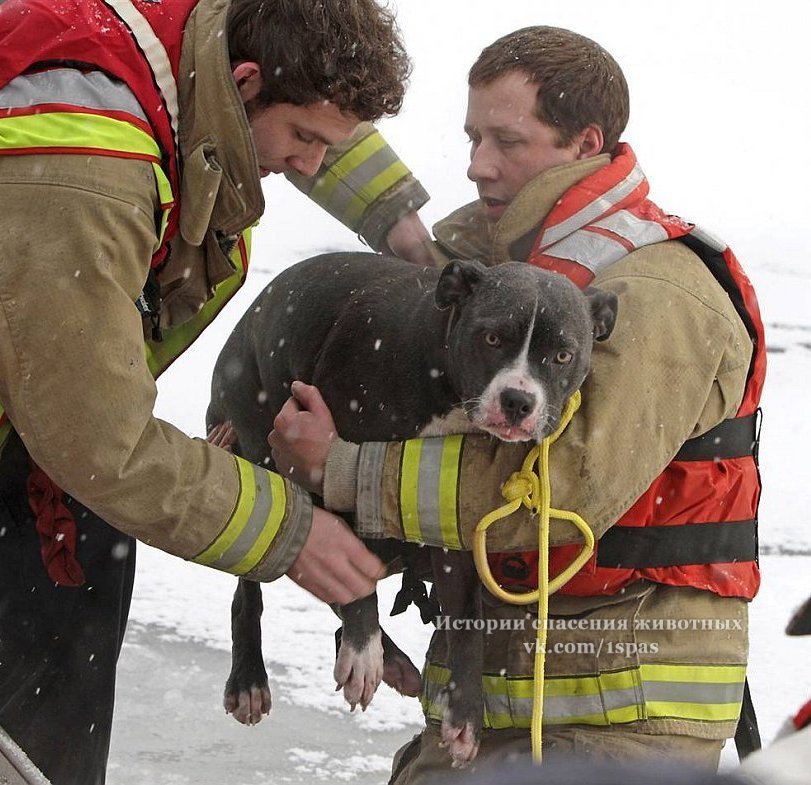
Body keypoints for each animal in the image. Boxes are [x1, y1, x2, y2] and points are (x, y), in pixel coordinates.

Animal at [208, 253, 616, 764]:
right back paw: (253, 679)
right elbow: (349, 572)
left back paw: (395, 663)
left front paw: (465, 713)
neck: (442, 376)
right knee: (256, 583)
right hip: (258, 450)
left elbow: (466, 620)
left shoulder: (444, 504)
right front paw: (362, 651)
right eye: (492, 337)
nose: (518, 401)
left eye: (563, 355)